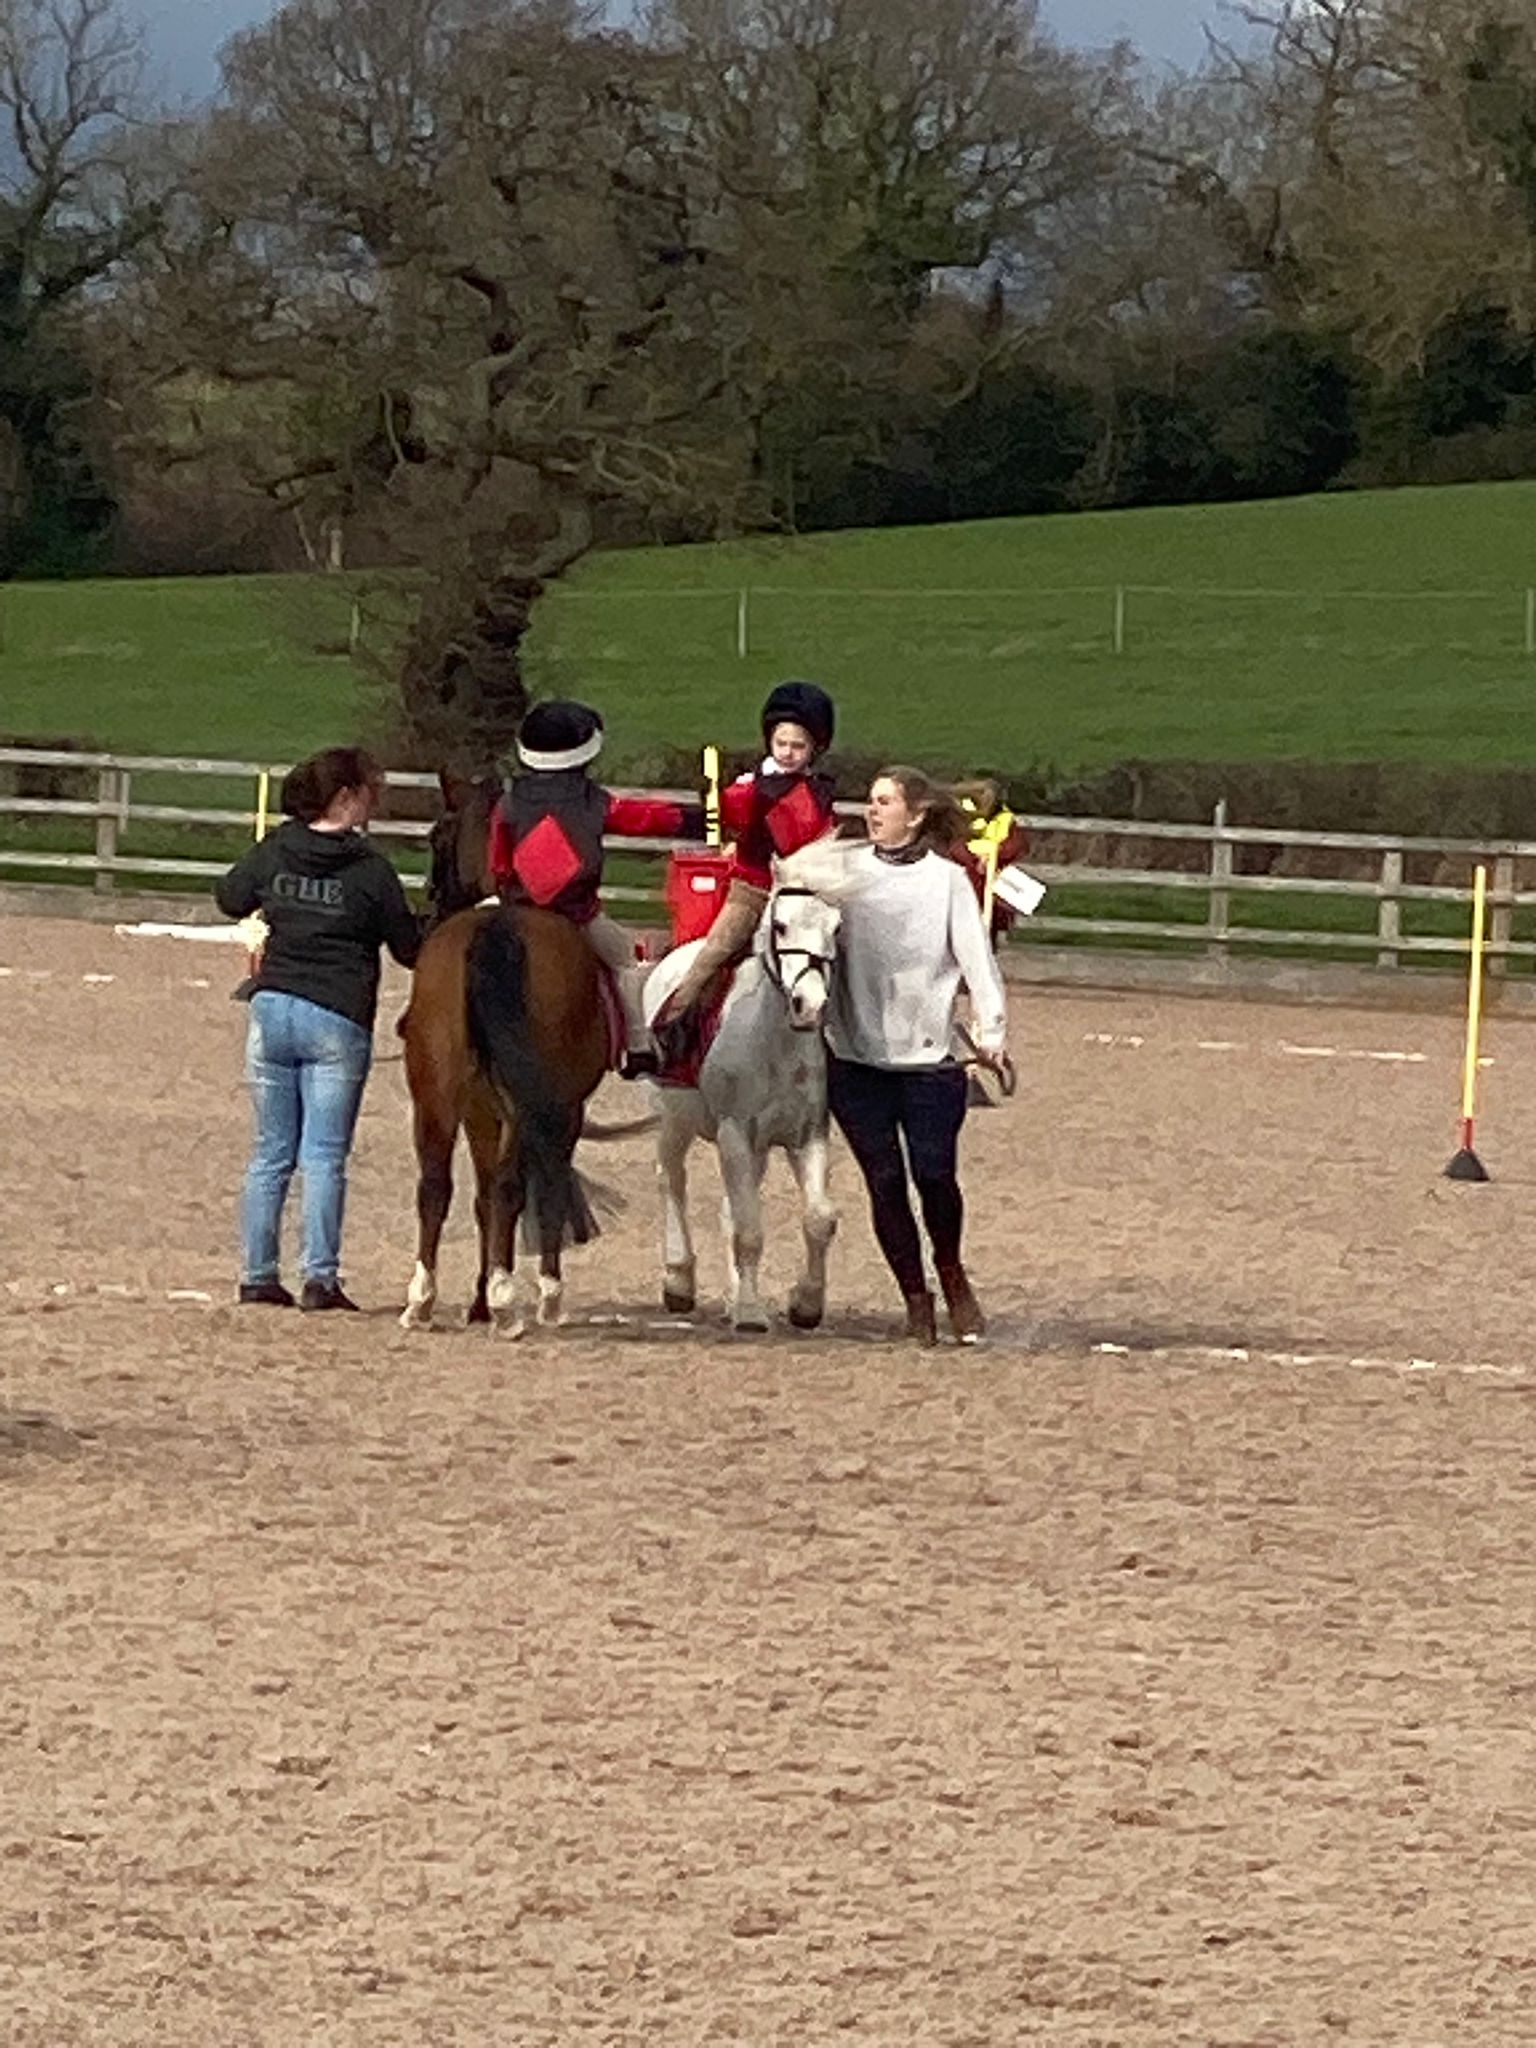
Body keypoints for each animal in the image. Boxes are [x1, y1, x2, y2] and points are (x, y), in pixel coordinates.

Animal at [397, 773, 613, 1338]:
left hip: (436, 1097)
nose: (427, 911)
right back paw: (510, 1304)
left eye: (434, 837)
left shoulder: (479, 1109)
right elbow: (542, 1188)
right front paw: (543, 1295)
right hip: (530, 1106)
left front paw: (478, 1297)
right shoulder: (563, 1110)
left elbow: (481, 1198)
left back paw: (424, 1301)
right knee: (515, 1188)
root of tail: (492, 931)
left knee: (435, 1186)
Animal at [641, 840, 863, 1333]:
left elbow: (818, 1218)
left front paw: (805, 1304)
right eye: (780, 925)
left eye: (837, 928)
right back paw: (678, 1279)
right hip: (675, 1122)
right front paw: (748, 1311)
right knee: (671, 1179)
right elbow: (748, 1229)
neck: (777, 1043)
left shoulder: (807, 1135)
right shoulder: (735, 1134)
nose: (809, 1004)